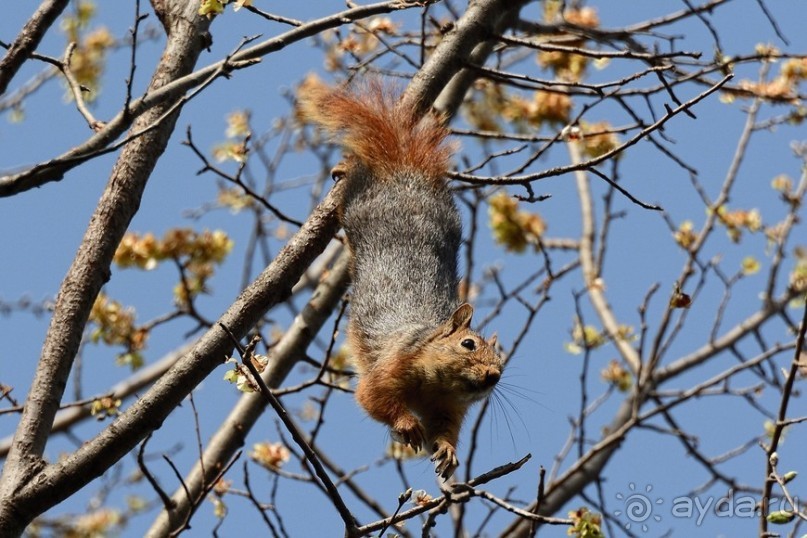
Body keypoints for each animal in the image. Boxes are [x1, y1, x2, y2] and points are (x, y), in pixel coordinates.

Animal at [300, 76, 504, 478]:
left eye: (503, 363)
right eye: (468, 344)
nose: (493, 377)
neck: (436, 386)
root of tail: (405, 171)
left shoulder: (449, 408)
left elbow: (446, 429)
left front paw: (446, 451)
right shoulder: (391, 365)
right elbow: (372, 397)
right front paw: (408, 426)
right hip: (360, 201)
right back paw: (345, 168)